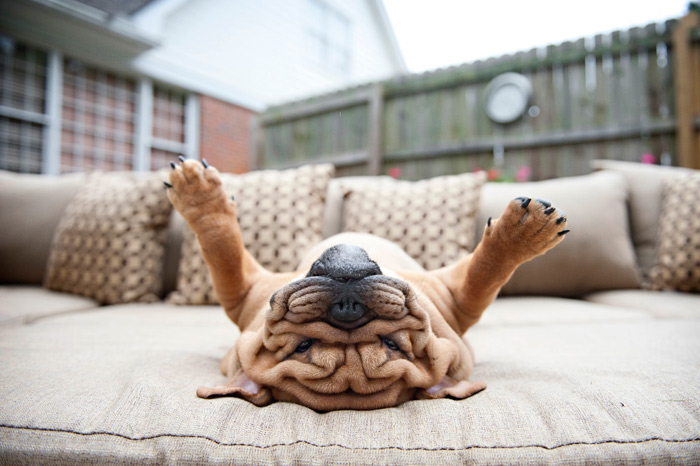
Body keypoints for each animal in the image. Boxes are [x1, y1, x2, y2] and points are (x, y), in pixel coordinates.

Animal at [165, 160, 568, 412]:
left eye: (393, 344)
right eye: (303, 346)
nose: (347, 309)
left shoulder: (452, 297)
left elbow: (484, 272)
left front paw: (521, 233)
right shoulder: (246, 291)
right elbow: (222, 250)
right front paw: (199, 195)